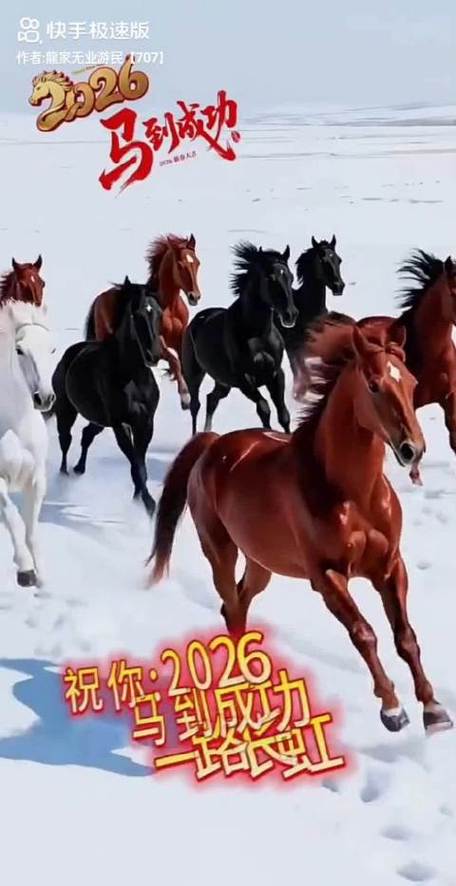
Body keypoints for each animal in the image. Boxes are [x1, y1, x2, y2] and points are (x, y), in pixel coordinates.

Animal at [53, 279, 162, 516]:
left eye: (159, 312)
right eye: (136, 315)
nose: (154, 355)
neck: (133, 380)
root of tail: (70, 353)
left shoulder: (145, 423)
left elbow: (140, 463)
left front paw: (139, 499)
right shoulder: (120, 424)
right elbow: (136, 466)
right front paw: (149, 507)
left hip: (100, 421)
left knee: (86, 435)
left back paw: (79, 469)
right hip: (66, 411)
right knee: (65, 441)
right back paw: (64, 477)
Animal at [85, 234, 202, 409]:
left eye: (197, 263)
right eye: (180, 265)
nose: (195, 296)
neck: (169, 306)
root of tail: (99, 298)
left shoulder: (180, 338)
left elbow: (181, 362)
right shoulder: (158, 342)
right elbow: (175, 361)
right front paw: (185, 397)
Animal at [148, 318, 453, 736]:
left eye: (410, 380)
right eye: (374, 384)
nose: (413, 449)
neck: (352, 496)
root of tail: (212, 446)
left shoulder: (390, 566)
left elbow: (405, 637)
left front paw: (434, 710)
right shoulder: (326, 576)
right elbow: (364, 634)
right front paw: (392, 709)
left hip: (261, 564)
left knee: (236, 607)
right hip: (220, 552)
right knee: (231, 607)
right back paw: (244, 691)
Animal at [182, 242, 298, 435]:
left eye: (291, 277)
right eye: (270, 278)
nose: (291, 315)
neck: (258, 335)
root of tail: (196, 320)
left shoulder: (275, 374)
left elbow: (283, 414)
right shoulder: (244, 379)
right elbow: (264, 408)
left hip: (223, 383)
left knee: (211, 399)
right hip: (194, 375)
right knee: (195, 405)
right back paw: (195, 436)